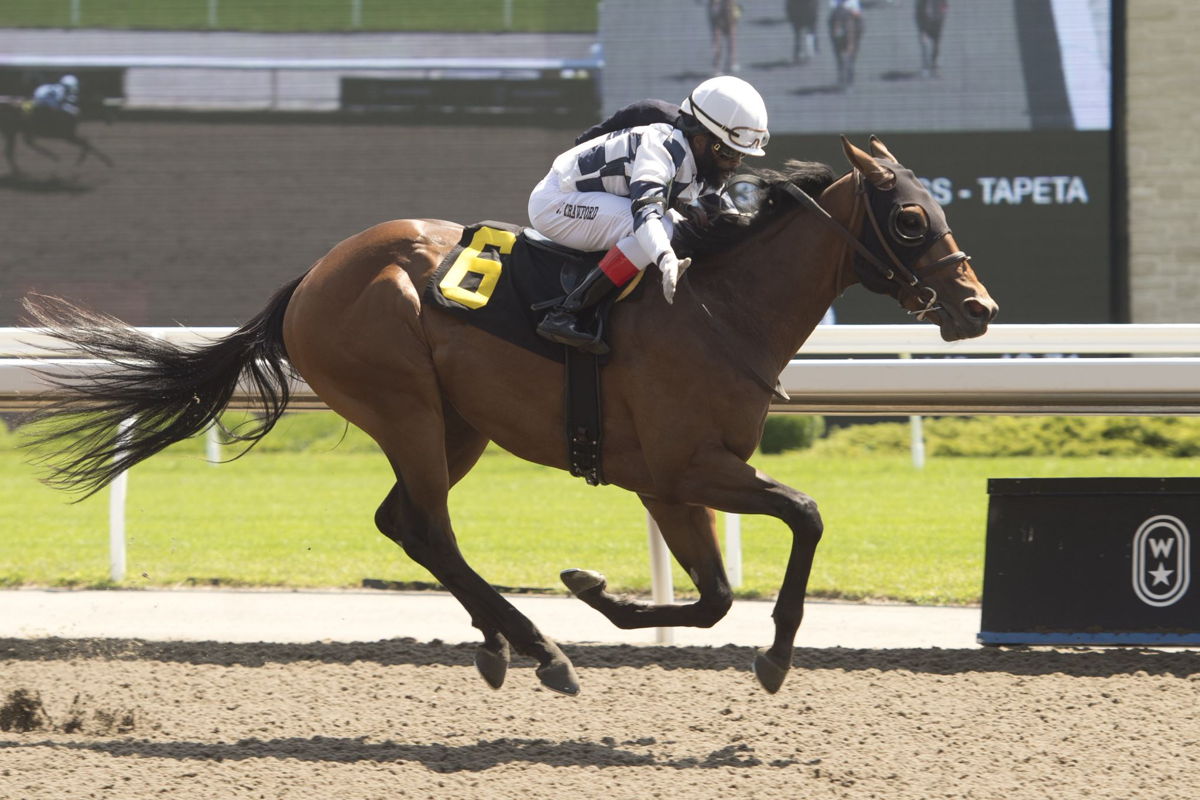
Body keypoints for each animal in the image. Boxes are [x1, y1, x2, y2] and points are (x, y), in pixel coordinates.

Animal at [23, 136, 993, 695]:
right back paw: (539, 649)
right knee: (430, 529)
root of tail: (315, 275)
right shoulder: (684, 469)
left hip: (458, 425)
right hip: (405, 405)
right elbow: (803, 516)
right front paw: (773, 656)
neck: (718, 307)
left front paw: (602, 593)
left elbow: (719, 595)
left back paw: (502, 642)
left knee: (404, 524)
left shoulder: (674, 486)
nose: (977, 308)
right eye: (912, 218)